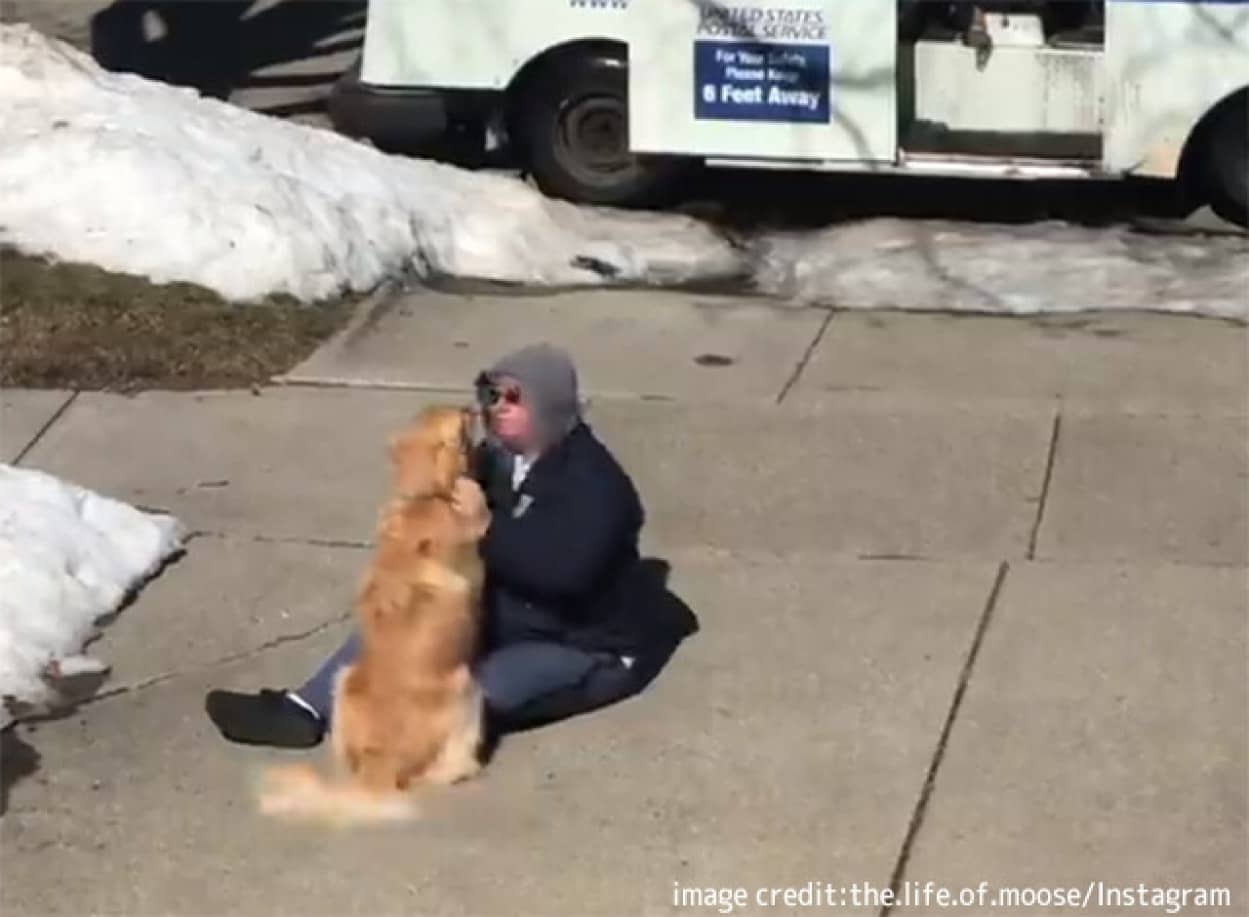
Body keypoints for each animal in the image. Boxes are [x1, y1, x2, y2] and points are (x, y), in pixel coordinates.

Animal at [257, 407, 487, 824]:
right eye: (461, 422)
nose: (475, 407)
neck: (420, 496)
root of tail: (379, 765)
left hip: (344, 680)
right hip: (470, 689)